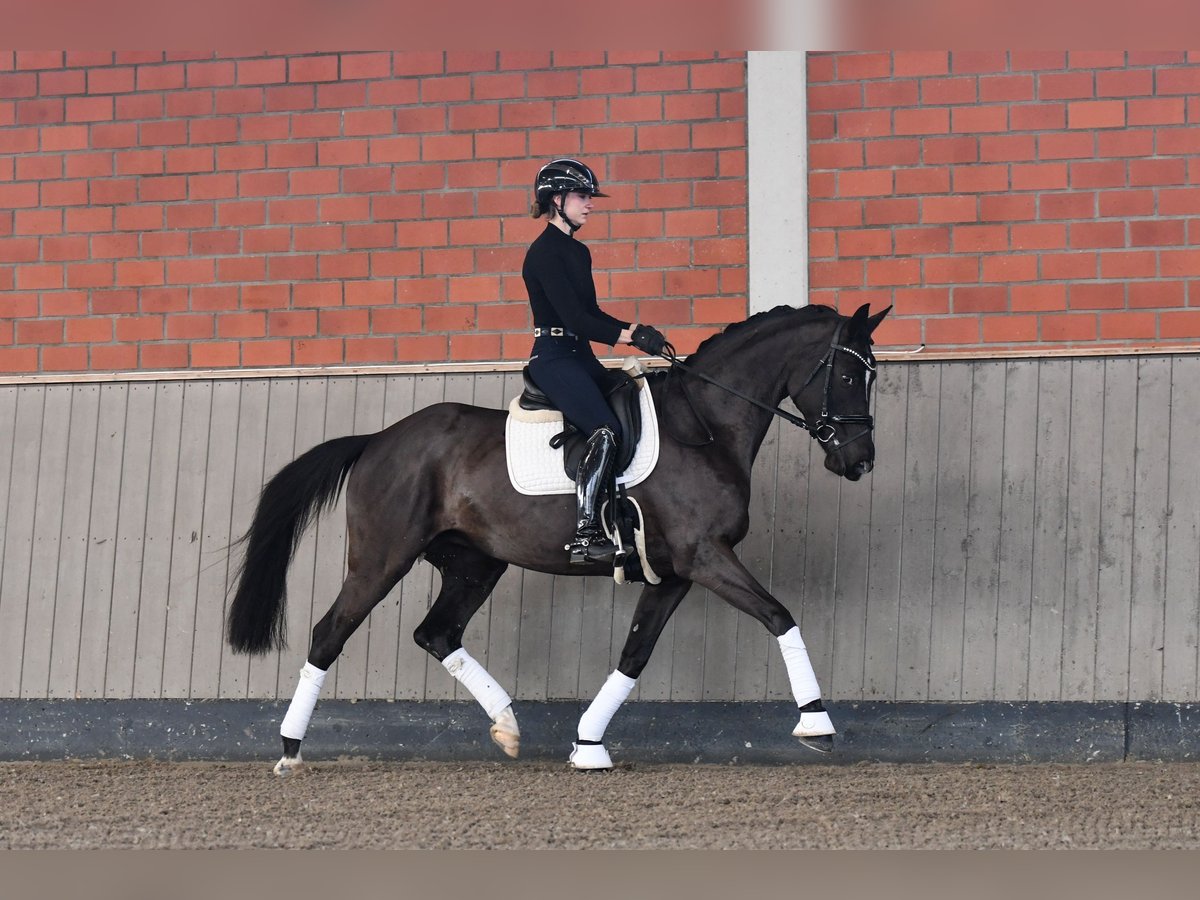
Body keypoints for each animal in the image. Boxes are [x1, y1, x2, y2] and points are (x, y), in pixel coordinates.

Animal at [229, 303, 892, 777]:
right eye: (846, 372)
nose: (859, 461)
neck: (704, 425)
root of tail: (377, 440)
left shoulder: (674, 572)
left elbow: (633, 655)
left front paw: (588, 745)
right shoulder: (706, 557)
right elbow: (780, 615)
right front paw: (817, 724)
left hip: (474, 565)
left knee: (436, 633)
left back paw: (507, 726)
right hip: (381, 560)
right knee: (329, 634)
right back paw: (289, 750)